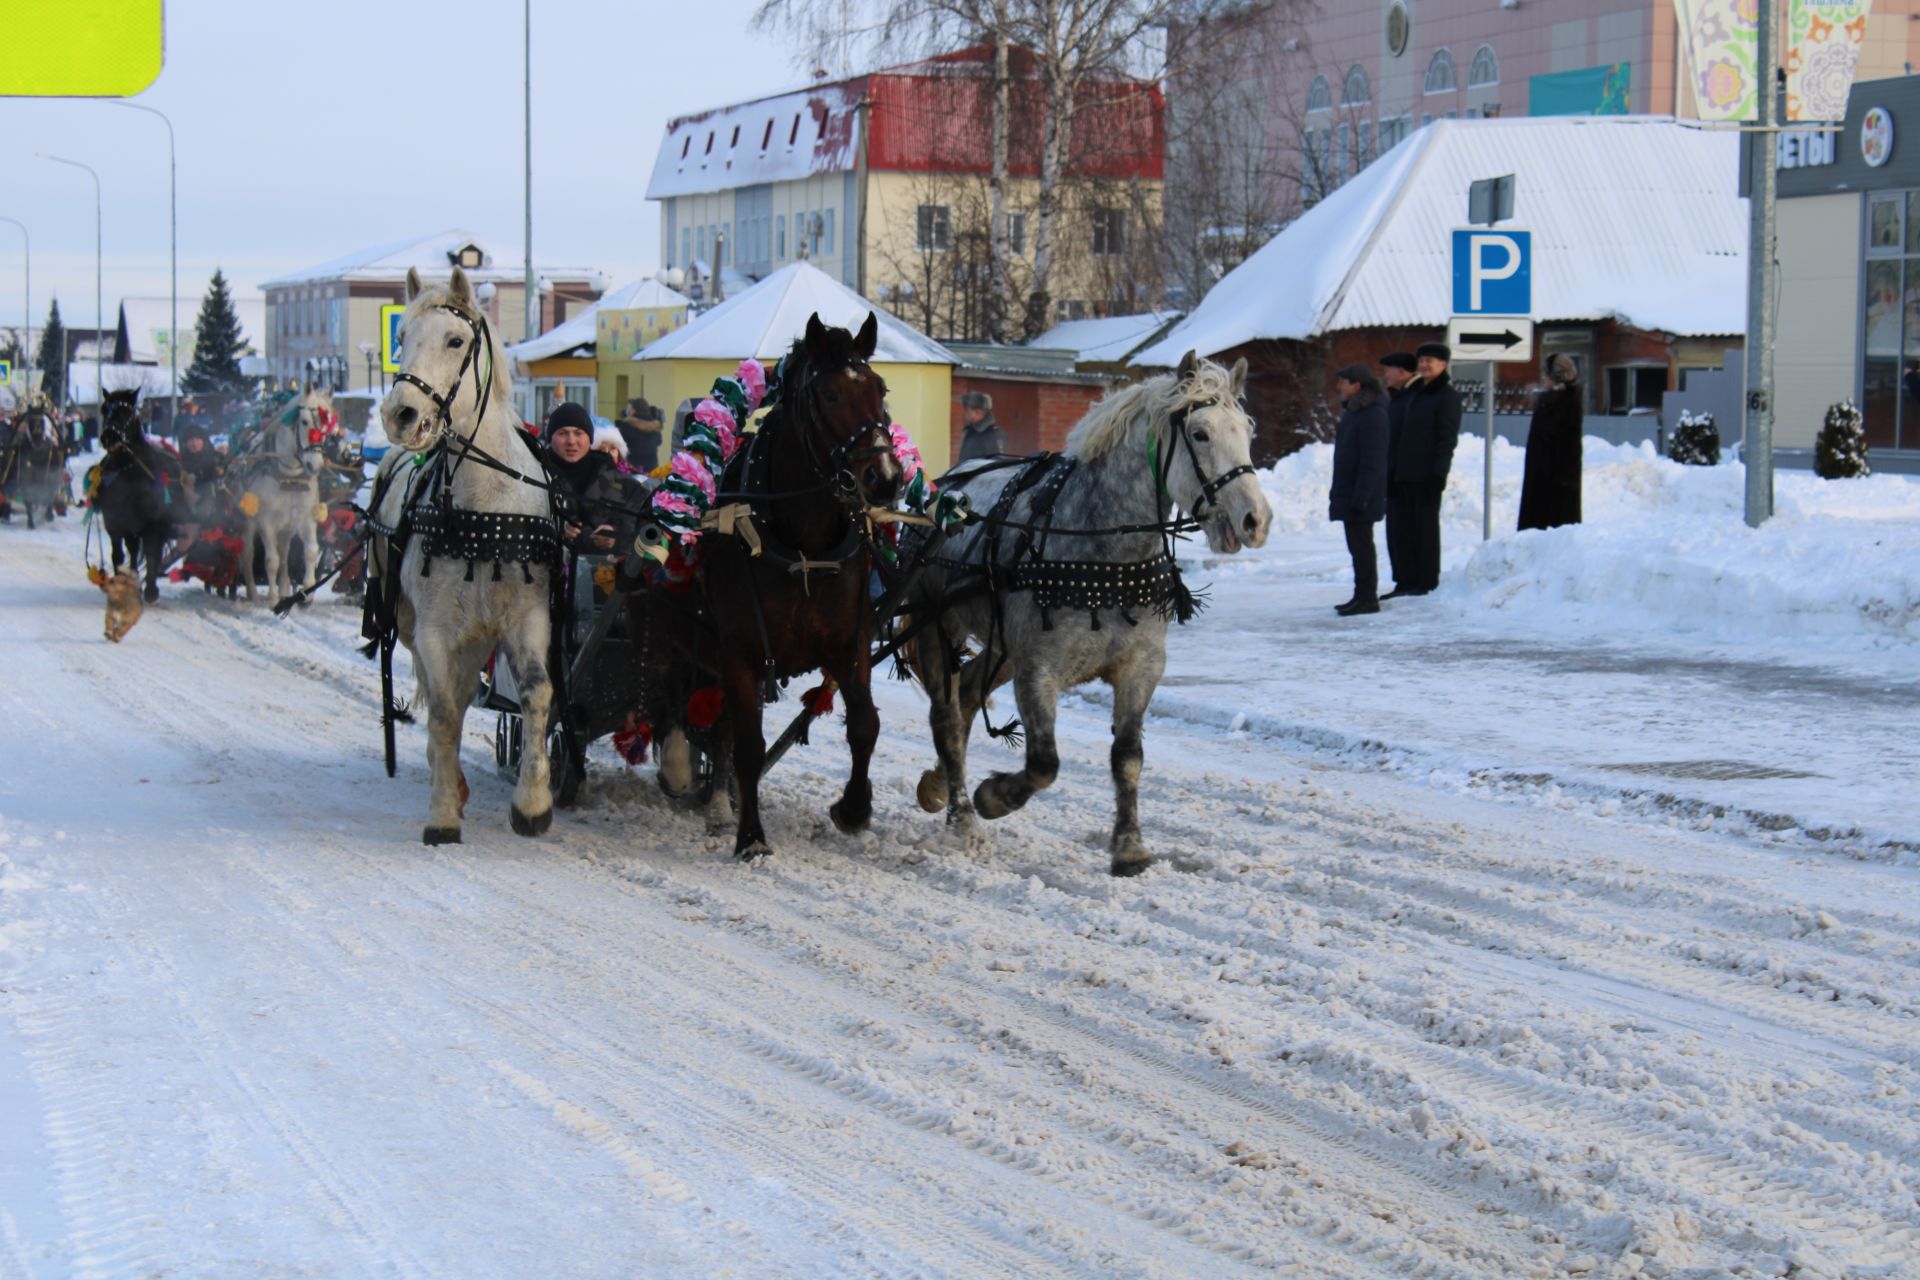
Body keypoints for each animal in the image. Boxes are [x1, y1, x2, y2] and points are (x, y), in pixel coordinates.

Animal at [234, 387, 332, 602]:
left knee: (284, 554)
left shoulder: (305, 517)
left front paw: (307, 592)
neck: (289, 478)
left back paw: (285, 589)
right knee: (249, 553)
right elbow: (271, 560)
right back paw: (253, 592)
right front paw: (272, 598)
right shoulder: (265, 521)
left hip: (287, 527)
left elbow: (310, 551)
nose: (315, 465)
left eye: (326, 428)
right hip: (248, 521)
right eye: (304, 421)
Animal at [368, 264, 560, 844]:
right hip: (420, 628)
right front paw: (442, 812)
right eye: (402, 339)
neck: (485, 510)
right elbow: (446, 713)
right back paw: (448, 779)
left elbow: (537, 694)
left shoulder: (529, 618)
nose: (400, 414)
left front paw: (533, 803)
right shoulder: (435, 629)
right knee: (442, 695)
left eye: (455, 340)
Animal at [702, 312, 902, 859]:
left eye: (880, 387)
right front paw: (751, 837)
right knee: (724, 730)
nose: (885, 478)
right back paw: (721, 803)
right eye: (829, 394)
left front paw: (853, 808)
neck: (803, 547)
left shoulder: (849, 641)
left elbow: (865, 723)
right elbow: (748, 744)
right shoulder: (739, 650)